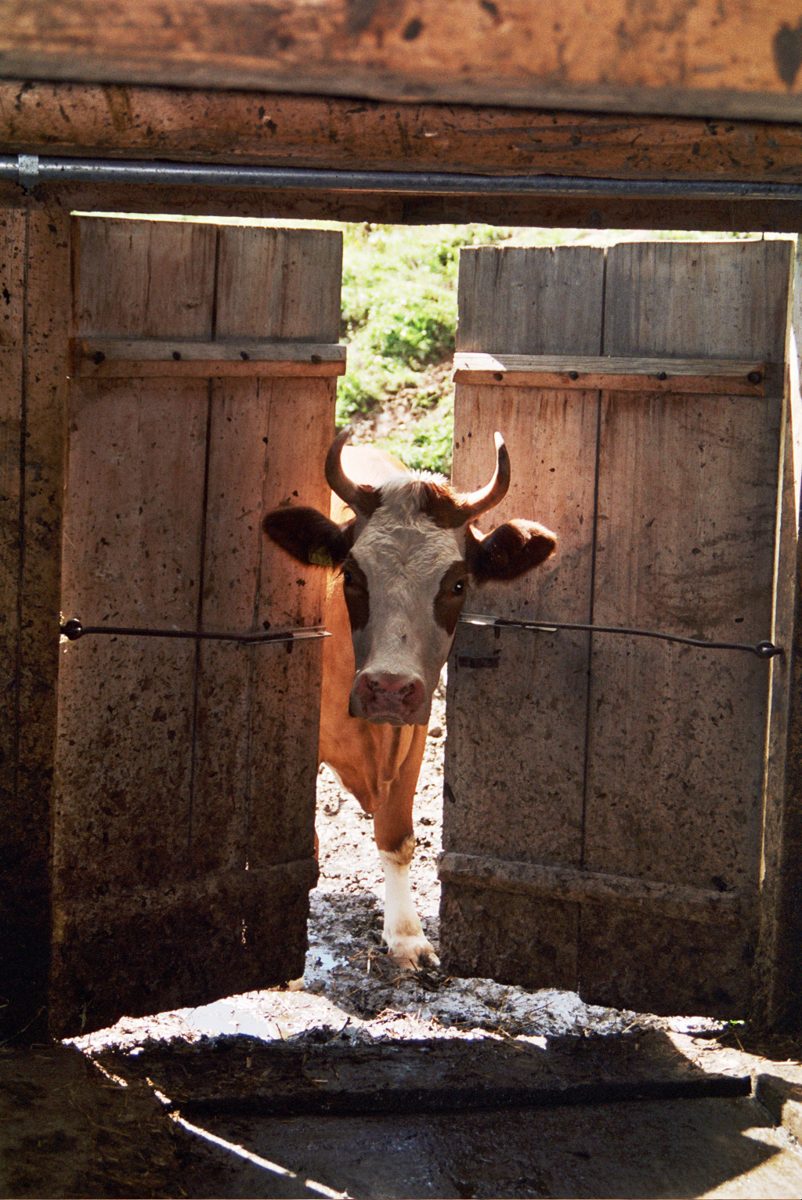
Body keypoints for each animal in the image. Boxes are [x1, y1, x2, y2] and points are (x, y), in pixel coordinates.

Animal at [263, 429, 556, 969]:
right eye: (351, 577)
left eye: (457, 583)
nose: (389, 688)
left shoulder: (415, 729)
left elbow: (397, 837)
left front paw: (405, 935)